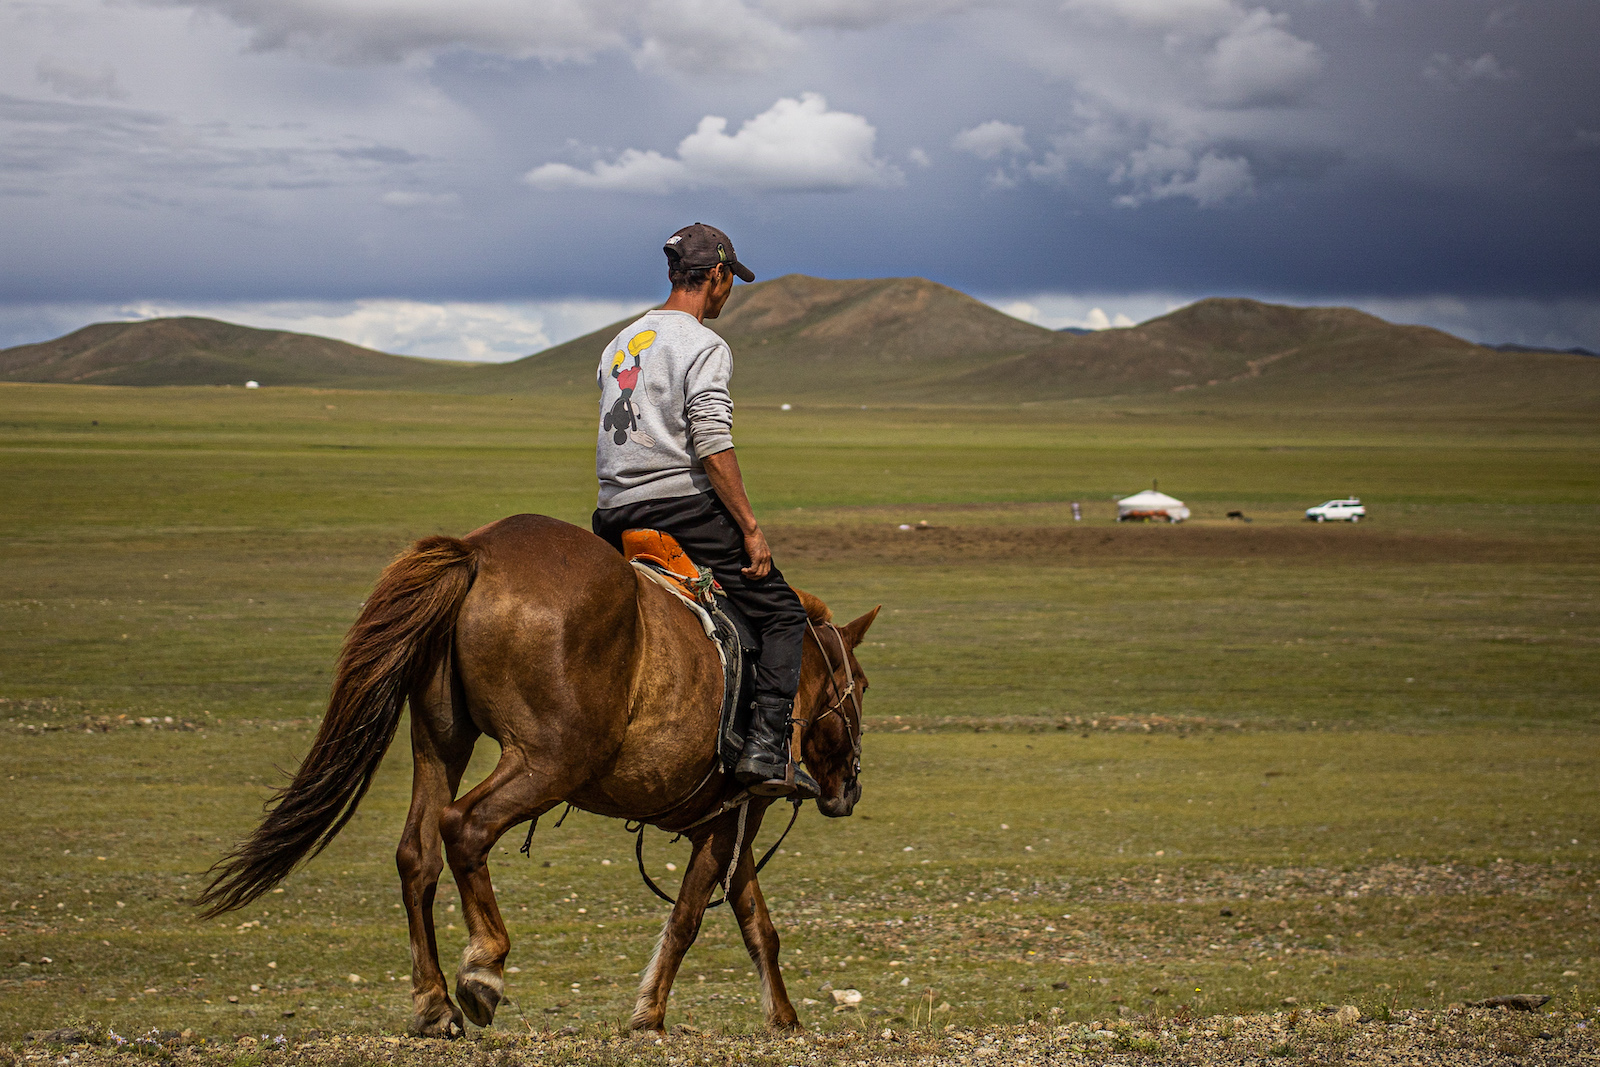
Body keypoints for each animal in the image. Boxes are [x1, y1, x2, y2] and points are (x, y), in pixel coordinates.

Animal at [198, 511, 883, 1036]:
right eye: (862, 685)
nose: (848, 788)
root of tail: (478, 552)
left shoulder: (727, 820)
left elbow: (756, 923)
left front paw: (784, 1019)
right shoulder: (733, 815)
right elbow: (690, 918)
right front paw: (648, 1017)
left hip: (440, 740)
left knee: (417, 852)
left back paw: (434, 1004)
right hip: (547, 760)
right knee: (464, 826)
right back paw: (482, 970)